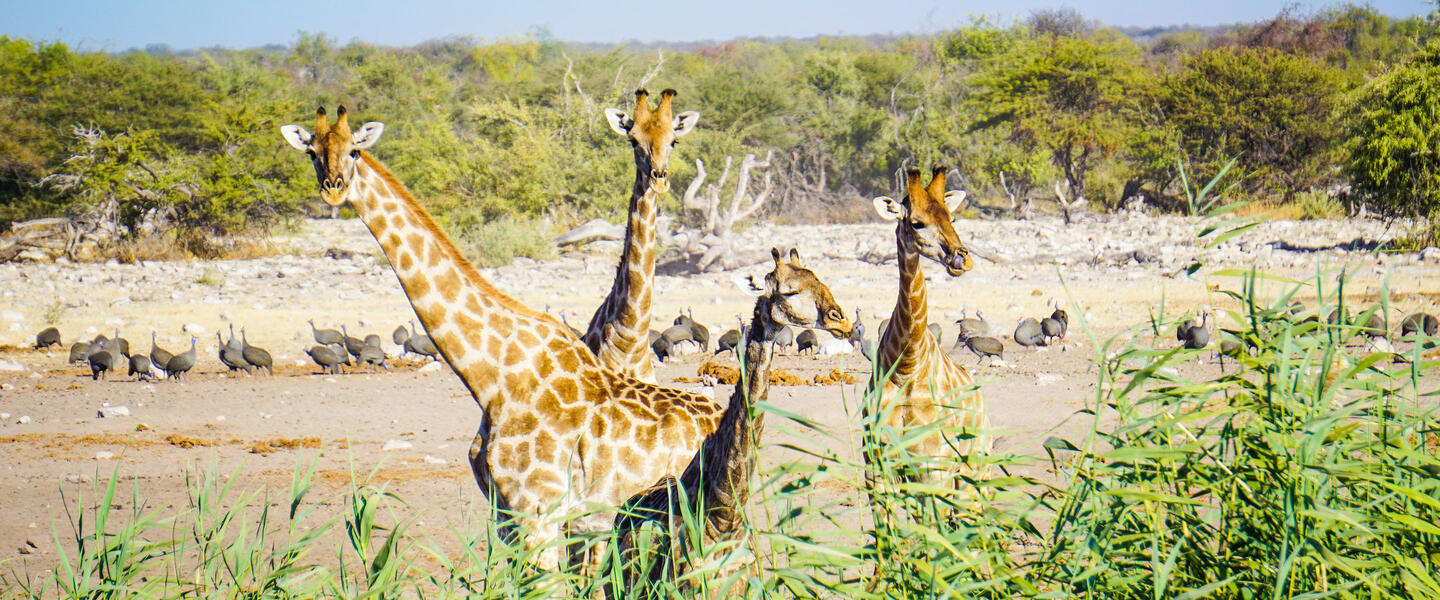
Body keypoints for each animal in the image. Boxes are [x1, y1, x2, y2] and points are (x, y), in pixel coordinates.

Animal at [864, 166, 990, 486]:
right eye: (917, 223)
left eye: (952, 218)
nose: (962, 260)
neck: (907, 367)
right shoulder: (876, 467)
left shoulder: (935, 467)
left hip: (975, 469)